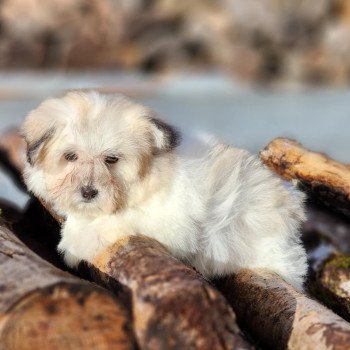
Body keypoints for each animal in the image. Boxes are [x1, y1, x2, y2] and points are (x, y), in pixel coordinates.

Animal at [21, 90, 306, 290]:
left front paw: (73, 242)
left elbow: (117, 220)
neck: (150, 174)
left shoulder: (168, 223)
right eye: (70, 156)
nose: (89, 193)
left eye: (111, 159)